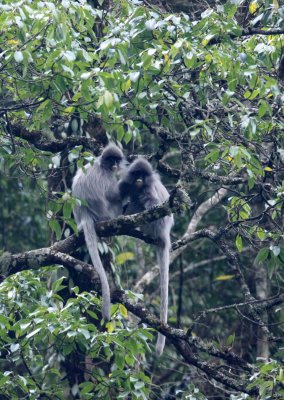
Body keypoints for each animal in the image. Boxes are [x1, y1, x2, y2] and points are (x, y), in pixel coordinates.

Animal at [71, 144, 125, 322]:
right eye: (111, 160)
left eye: (116, 160)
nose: (114, 164)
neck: (102, 165)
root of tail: (85, 215)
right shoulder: (107, 177)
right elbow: (113, 194)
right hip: (106, 214)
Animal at [118, 158, 173, 354]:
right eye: (137, 174)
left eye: (143, 174)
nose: (140, 179)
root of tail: (164, 235)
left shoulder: (149, 191)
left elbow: (152, 204)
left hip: (153, 226)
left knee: (141, 205)